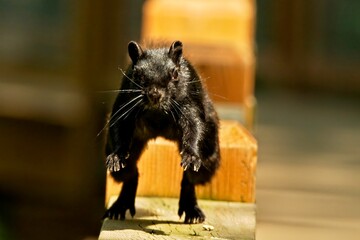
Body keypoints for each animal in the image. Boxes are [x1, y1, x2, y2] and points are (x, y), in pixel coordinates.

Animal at [103, 40, 219, 223]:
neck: (157, 112)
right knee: (130, 174)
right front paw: (117, 155)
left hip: (208, 158)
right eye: (137, 74)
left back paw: (191, 210)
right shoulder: (125, 103)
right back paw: (120, 205)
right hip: (128, 154)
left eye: (175, 74)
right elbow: (119, 127)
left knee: (189, 179)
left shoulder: (189, 102)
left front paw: (191, 154)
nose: (154, 95)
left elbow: (195, 126)